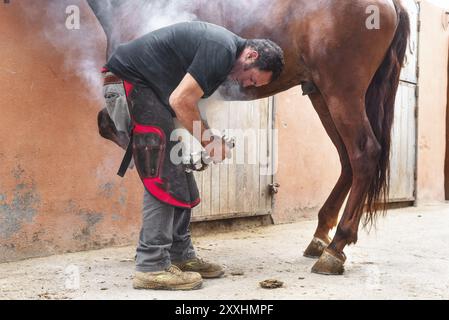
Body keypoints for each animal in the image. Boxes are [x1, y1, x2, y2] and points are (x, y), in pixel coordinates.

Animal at [87, 0, 410, 276]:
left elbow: (114, 126)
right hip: (321, 94)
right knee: (346, 159)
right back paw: (320, 239)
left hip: (341, 90)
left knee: (364, 153)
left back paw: (334, 250)